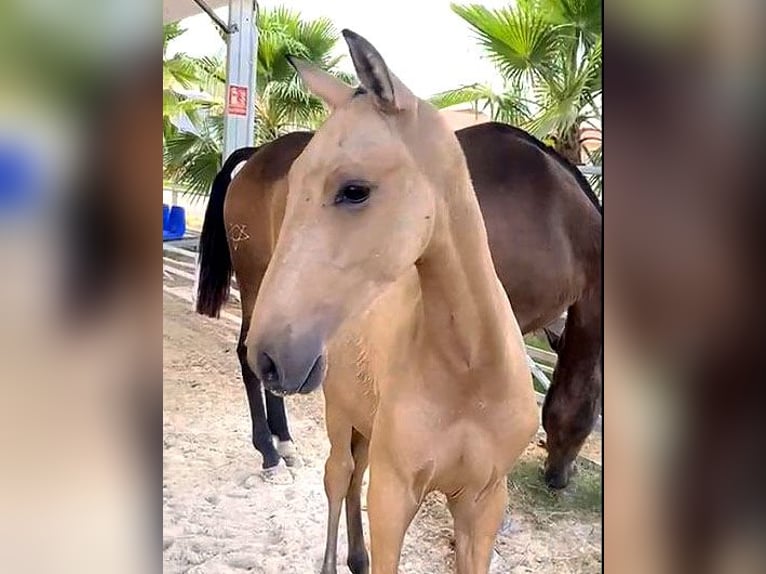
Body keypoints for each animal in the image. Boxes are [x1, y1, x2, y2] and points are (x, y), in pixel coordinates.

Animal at [198, 121, 608, 490]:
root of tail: (257, 156)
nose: (560, 477)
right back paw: (270, 454)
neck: (557, 215)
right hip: (256, 283)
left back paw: (285, 443)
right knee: (249, 358)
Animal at [246, 32, 540, 574]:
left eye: (354, 190)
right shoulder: (393, 494)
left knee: (353, 474)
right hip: (341, 416)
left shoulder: (483, 502)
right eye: (292, 185)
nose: (269, 357)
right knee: (339, 476)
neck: (470, 373)